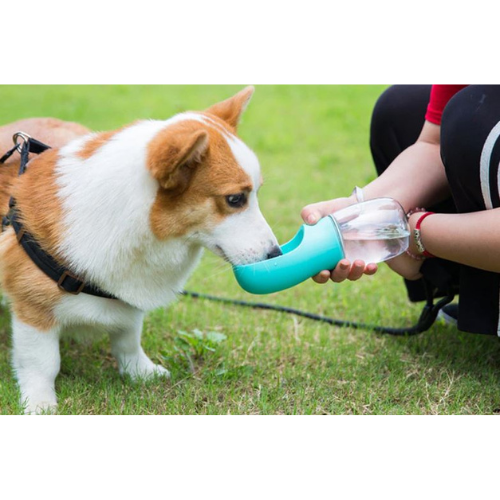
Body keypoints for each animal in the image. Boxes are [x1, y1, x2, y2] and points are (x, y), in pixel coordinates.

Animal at [0, 87, 282, 414]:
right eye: (235, 199)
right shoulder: (33, 309)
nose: (275, 254)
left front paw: (139, 372)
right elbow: (43, 362)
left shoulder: (128, 295)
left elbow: (128, 339)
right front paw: (40, 403)